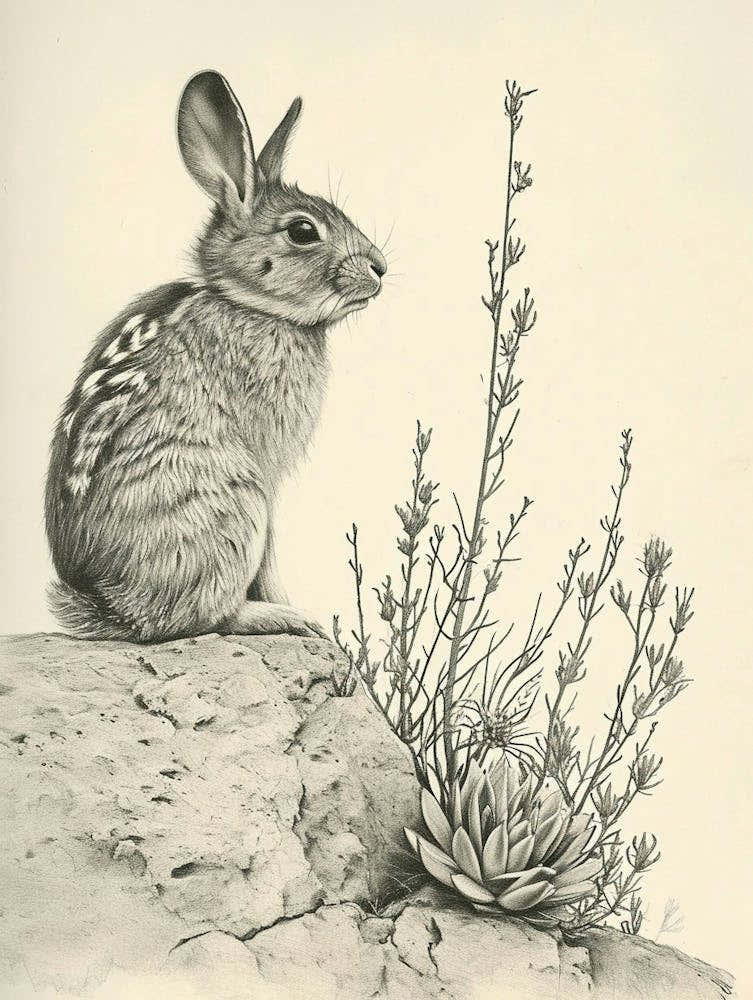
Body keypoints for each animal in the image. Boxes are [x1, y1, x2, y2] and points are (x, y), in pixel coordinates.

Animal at [45, 70, 387, 643]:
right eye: (302, 230)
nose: (380, 268)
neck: (248, 303)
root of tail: (116, 608)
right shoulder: (266, 474)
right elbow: (269, 553)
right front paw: (290, 604)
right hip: (228, 503)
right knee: (207, 616)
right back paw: (282, 618)